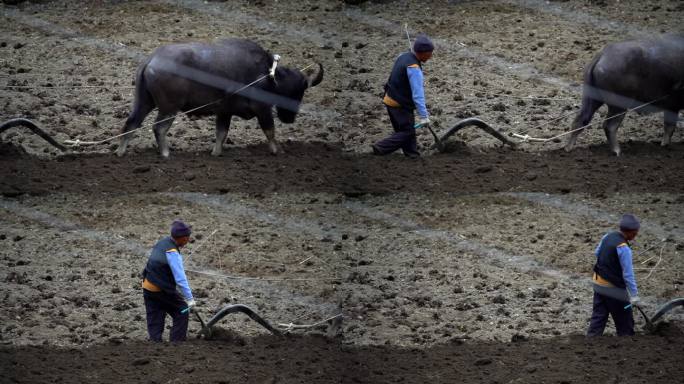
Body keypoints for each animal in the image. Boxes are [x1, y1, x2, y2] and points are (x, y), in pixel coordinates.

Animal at [115, 38, 324, 158]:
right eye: (296, 93)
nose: (290, 118)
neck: (266, 75)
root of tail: (151, 60)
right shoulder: (262, 109)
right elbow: (269, 130)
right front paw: (277, 151)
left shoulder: (224, 112)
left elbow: (221, 133)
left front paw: (215, 153)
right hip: (169, 108)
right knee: (159, 128)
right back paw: (166, 153)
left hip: (144, 101)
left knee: (131, 123)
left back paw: (120, 152)